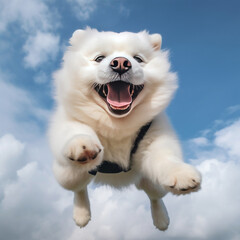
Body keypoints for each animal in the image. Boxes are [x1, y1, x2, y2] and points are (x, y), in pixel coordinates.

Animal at [48, 28, 201, 231]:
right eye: (99, 58)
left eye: (138, 58)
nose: (121, 63)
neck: (116, 123)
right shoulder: (68, 122)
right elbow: (75, 129)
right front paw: (82, 144)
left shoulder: (154, 137)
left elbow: (165, 157)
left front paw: (180, 173)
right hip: (67, 176)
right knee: (79, 189)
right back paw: (81, 214)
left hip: (152, 183)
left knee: (155, 197)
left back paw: (161, 219)